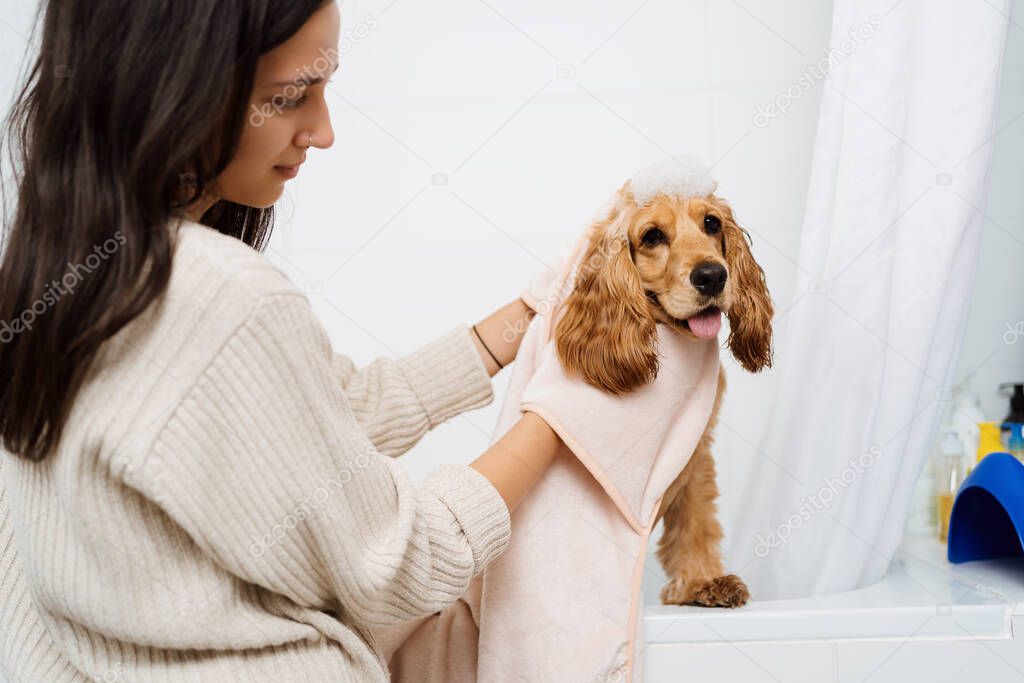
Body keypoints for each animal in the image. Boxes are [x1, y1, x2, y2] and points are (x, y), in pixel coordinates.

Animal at [552, 163, 770, 610]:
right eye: (652, 236)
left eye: (712, 223)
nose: (712, 275)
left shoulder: (697, 446)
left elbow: (696, 519)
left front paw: (703, 581)